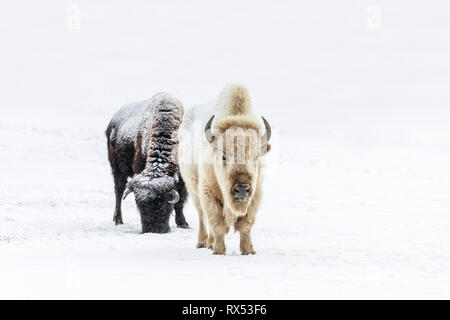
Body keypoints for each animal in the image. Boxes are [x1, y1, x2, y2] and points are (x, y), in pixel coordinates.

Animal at [179, 84, 270, 254]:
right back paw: (203, 242)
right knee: (202, 216)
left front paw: (248, 250)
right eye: (223, 156)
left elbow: (245, 226)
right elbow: (217, 224)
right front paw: (219, 250)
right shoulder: (208, 192)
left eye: (255, 157)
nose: (242, 189)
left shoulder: (256, 194)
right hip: (194, 190)